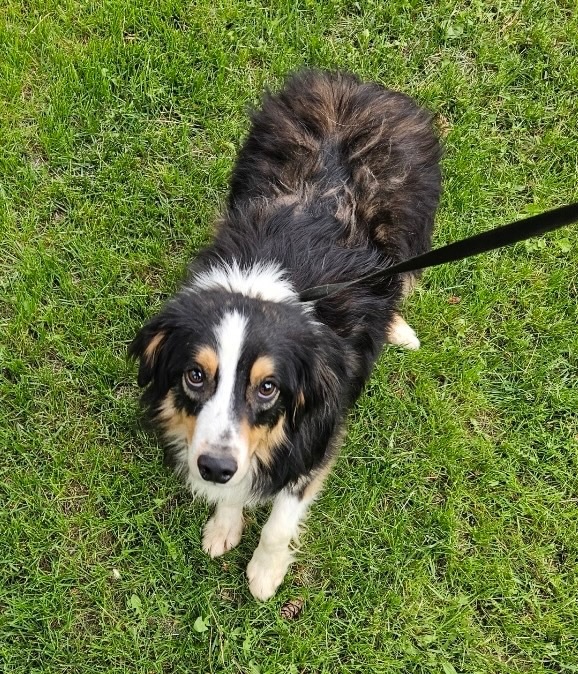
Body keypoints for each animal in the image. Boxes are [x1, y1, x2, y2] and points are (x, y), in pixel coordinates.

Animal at [128, 69, 438, 600]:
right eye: (194, 375)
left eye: (269, 387)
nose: (213, 468)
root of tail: (356, 86)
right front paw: (225, 524)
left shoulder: (319, 434)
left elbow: (280, 518)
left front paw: (265, 570)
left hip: (412, 230)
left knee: (401, 281)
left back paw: (397, 328)